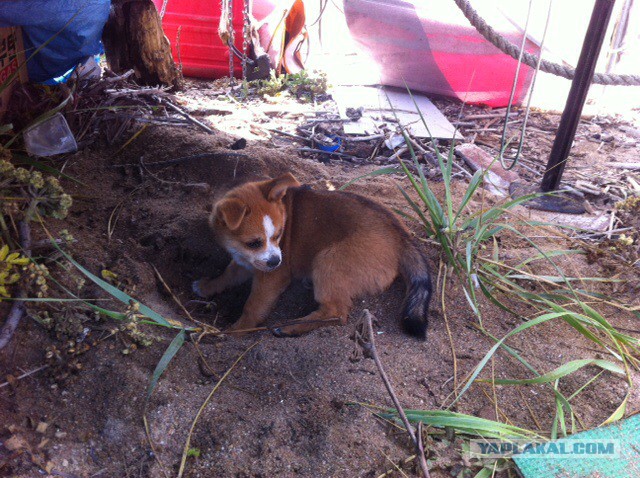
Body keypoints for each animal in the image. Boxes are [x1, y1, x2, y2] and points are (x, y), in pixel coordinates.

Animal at [192, 174, 432, 338]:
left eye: (279, 235)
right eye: (253, 243)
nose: (277, 261)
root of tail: (401, 237)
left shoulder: (272, 277)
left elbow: (253, 306)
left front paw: (236, 330)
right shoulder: (246, 261)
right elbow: (227, 275)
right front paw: (207, 286)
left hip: (328, 260)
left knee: (336, 312)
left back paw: (291, 326)